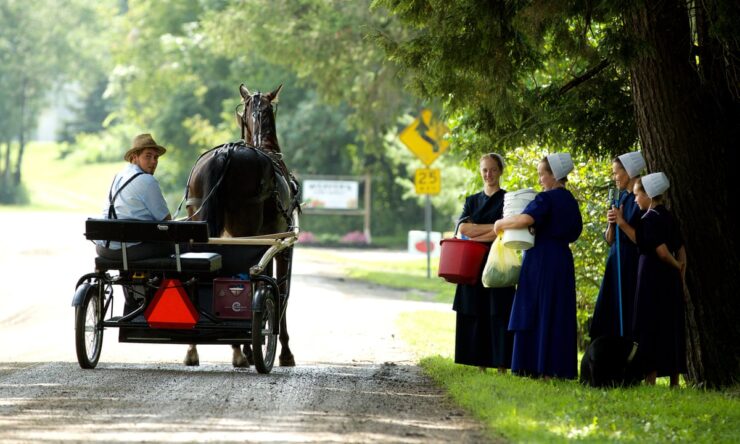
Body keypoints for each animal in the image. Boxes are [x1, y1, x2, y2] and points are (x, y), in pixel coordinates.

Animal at [184, 83, 300, 368]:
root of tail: (226, 153)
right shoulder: (282, 247)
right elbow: (281, 290)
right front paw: (284, 351)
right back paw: (241, 350)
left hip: (198, 222)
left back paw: (194, 348)